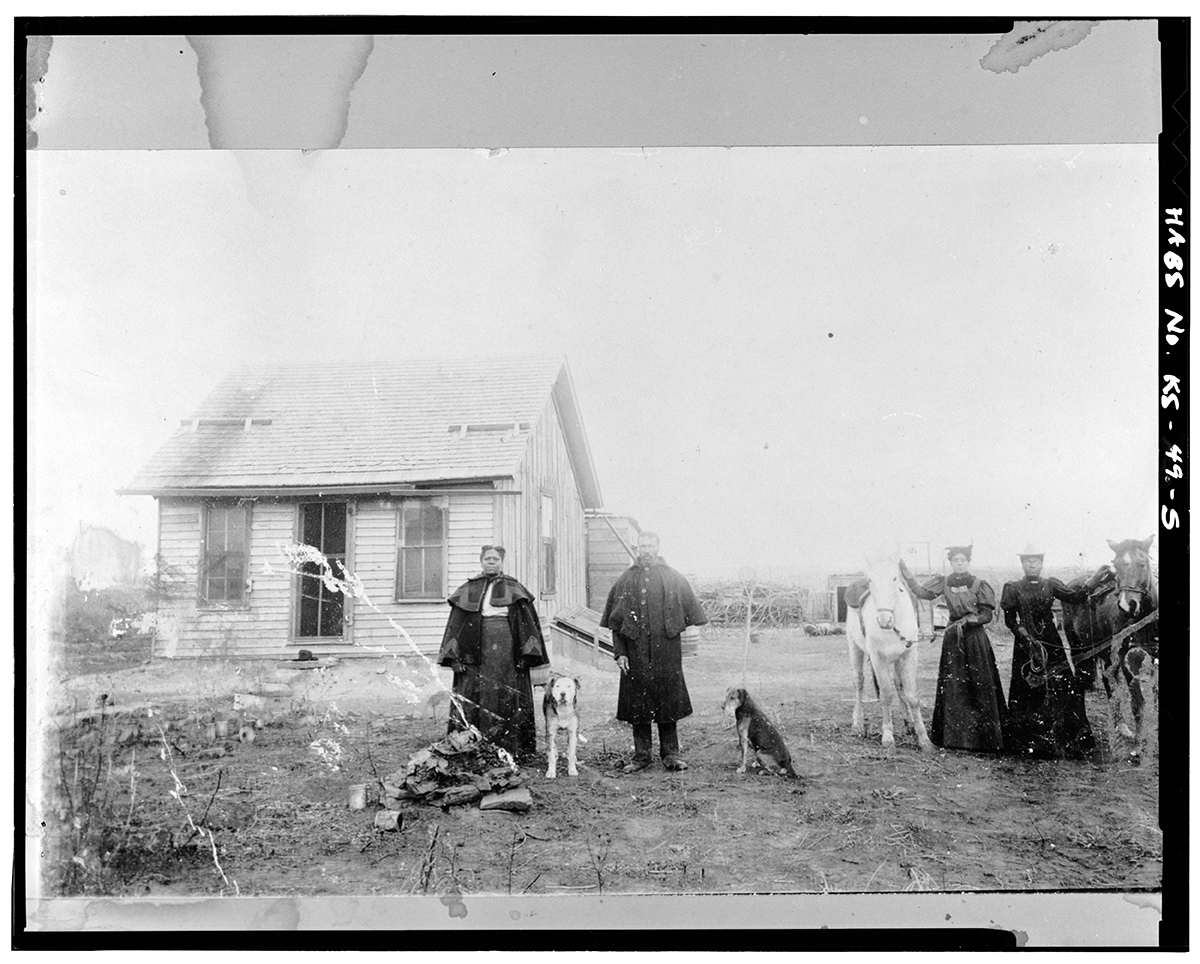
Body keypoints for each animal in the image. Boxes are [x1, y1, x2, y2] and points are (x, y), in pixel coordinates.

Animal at [849, 557, 931, 753]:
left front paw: (923, 738)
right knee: (859, 682)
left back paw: (909, 724)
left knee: (898, 684)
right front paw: (887, 737)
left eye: (895, 578)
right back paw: (857, 724)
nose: (884, 620)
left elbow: (912, 696)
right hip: (855, 648)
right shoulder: (879, 659)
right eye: (871, 580)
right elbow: (886, 695)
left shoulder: (908, 655)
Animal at [1065, 540, 1156, 758]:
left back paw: (1120, 726)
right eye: (1116, 564)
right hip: (1077, 647)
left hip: (1105, 653)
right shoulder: (1127, 658)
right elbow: (1137, 702)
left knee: (1108, 682)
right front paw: (1138, 747)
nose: (1126, 605)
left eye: (1142, 564)